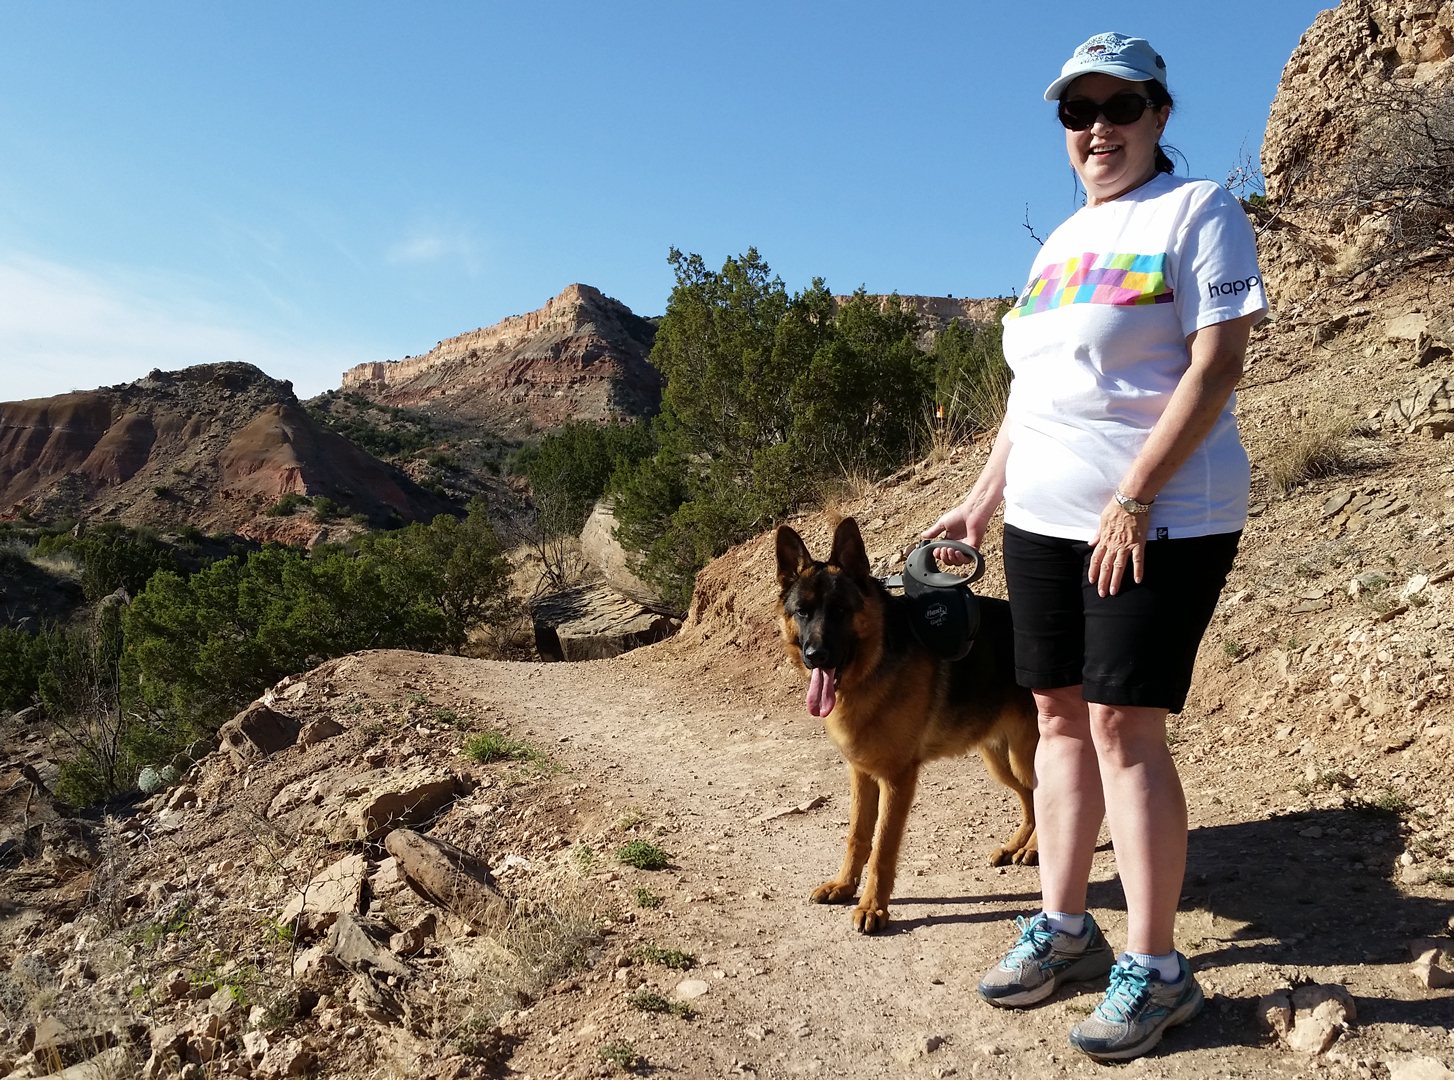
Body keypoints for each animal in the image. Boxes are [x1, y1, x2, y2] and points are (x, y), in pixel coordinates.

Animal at [779, 520, 1041, 936]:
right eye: (802, 612)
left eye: (839, 611)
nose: (815, 656)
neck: (872, 663)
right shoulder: (861, 774)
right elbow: (857, 836)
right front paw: (844, 885)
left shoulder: (897, 779)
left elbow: (883, 848)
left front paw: (873, 907)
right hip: (1002, 761)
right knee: (1030, 798)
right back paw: (1018, 844)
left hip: (1027, 756)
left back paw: (1032, 848)